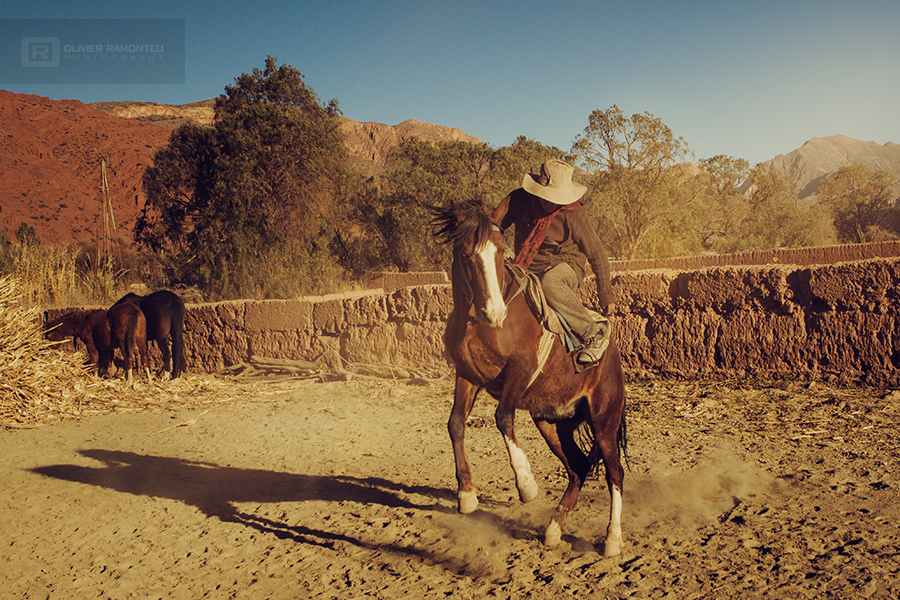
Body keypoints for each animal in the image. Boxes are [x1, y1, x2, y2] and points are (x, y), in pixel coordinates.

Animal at [434, 199, 628, 556]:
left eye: (500, 251)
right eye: (466, 254)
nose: (494, 312)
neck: (481, 325)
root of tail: (611, 353)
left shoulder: (520, 371)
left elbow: (502, 417)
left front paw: (526, 484)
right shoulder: (467, 375)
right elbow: (455, 424)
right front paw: (466, 495)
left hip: (603, 420)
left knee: (614, 473)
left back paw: (612, 539)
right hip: (552, 421)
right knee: (578, 468)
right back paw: (554, 528)